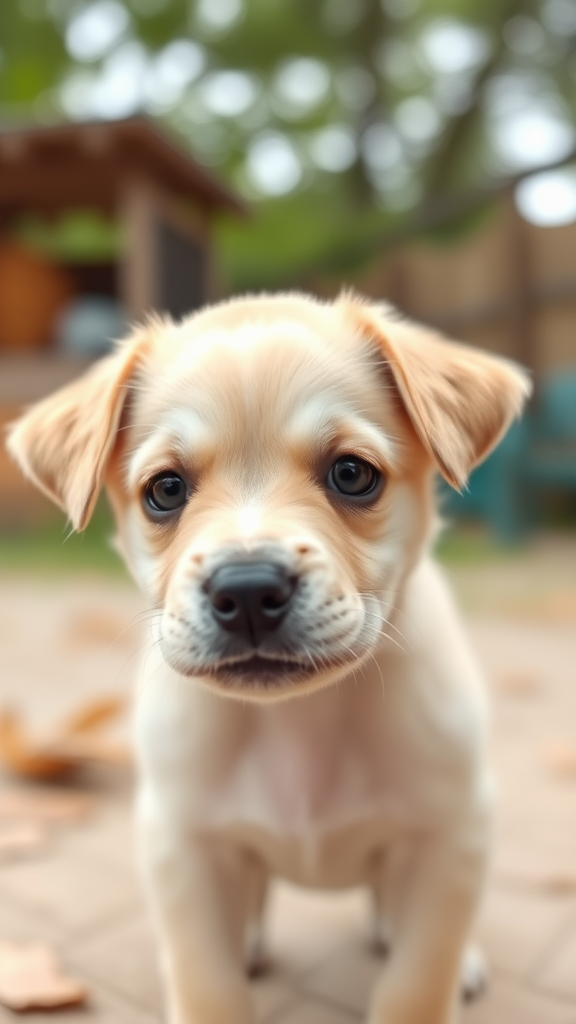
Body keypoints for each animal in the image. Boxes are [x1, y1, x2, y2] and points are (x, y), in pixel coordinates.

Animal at [10, 290, 528, 1024]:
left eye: (352, 474)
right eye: (165, 490)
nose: (249, 590)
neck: (298, 723)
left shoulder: (449, 837)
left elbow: (416, 980)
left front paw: (439, 975)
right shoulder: (183, 849)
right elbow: (209, 985)